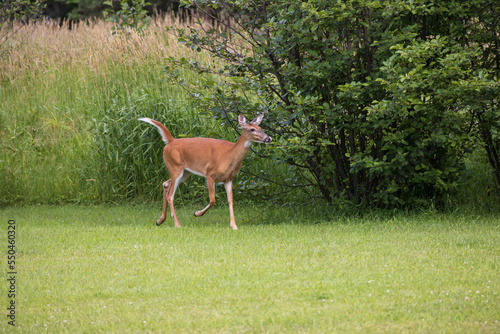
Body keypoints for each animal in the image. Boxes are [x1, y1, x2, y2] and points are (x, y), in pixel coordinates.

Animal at [139, 115, 272, 230]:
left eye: (261, 128)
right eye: (252, 129)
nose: (268, 138)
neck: (229, 156)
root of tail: (170, 141)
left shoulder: (229, 178)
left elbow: (230, 200)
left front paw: (234, 225)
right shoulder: (210, 174)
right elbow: (213, 200)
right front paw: (197, 213)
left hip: (185, 172)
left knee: (165, 184)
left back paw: (160, 220)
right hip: (175, 167)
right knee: (170, 195)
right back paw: (177, 224)